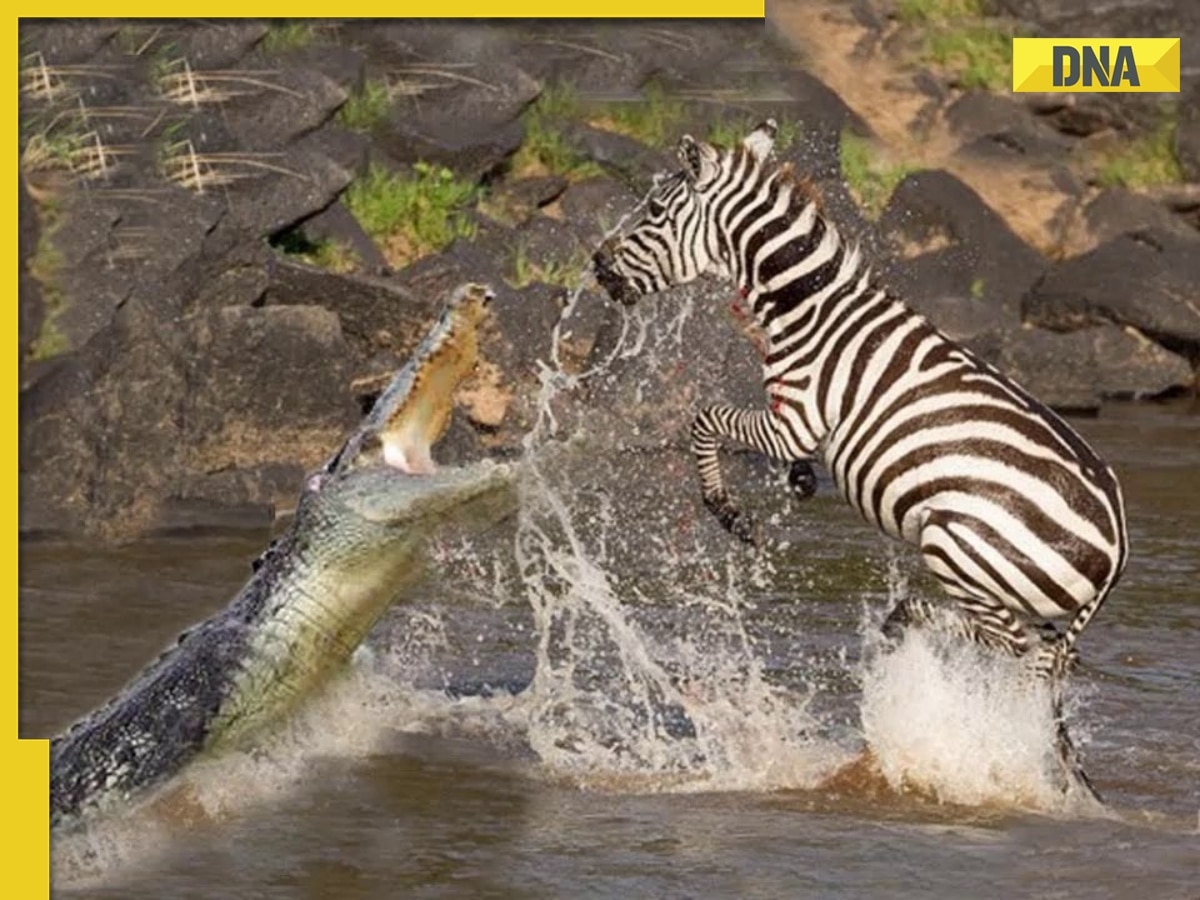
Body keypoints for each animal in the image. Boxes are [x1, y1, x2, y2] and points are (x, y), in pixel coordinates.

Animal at [595, 120, 1128, 796]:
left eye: (656, 212)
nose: (597, 267)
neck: (809, 307)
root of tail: (1116, 541)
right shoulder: (791, 425)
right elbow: (759, 444)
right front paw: (796, 483)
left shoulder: (796, 417)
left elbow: (704, 421)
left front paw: (727, 512)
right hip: (1032, 593)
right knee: (1047, 658)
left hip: (960, 549)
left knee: (1017, 649)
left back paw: (911, 617)